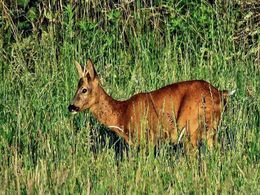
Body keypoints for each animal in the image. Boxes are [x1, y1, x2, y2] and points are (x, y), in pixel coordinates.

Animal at [68, 59, 235, 151]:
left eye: (84, 89)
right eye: (76, 87)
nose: (71, 107)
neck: (122, 113)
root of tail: (221, 93)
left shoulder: (145, 138)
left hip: (190, 127)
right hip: (211, 129)